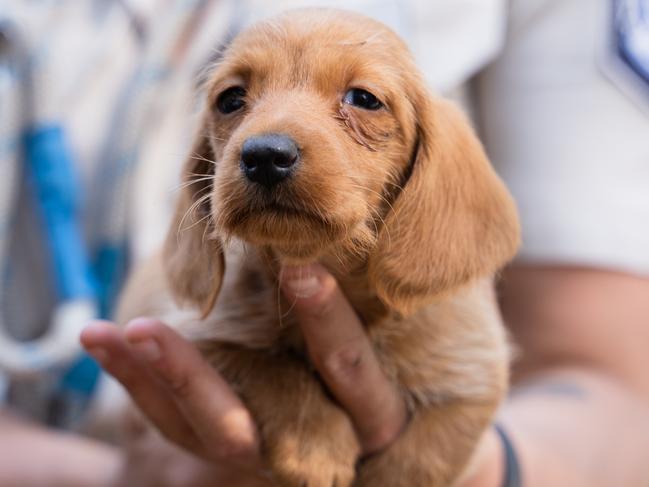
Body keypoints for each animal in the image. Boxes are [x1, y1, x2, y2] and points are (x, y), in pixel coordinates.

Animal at [119, 8, 520, 487]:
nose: (265, 155)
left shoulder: (474, 372)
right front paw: (315, 443)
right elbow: (269, 366)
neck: (334, 273)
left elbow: (427, 455)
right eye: (230, 99)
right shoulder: (197, 336)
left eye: (363, 98)